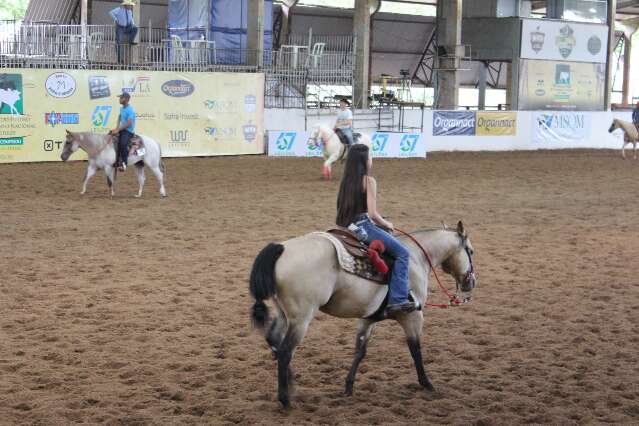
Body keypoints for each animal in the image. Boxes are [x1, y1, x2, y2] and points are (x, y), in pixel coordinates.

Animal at [249, 221, 476, 408]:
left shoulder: (368, 319)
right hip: (301, 319)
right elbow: (415, 349)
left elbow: (360, 351)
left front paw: (348, 387)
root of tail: (282, 248)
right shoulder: (412, 316)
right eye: (471, 252)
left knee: (274, 340)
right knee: (286, 351)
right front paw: (427, 383)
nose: (471, 282)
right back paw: (285, 400)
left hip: (283, 314)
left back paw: (291, 383)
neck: (416, 258)